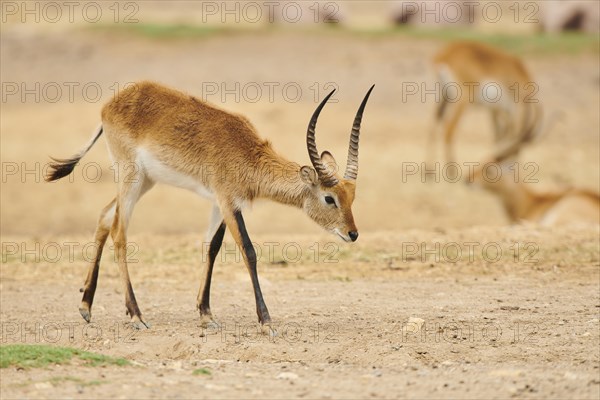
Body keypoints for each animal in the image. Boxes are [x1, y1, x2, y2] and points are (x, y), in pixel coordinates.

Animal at [48, 80, 376, 328]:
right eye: (329, 198)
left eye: (352, 197)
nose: (352, 233)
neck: (245, 151)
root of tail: (113, 102)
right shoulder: (228, 201)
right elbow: (249, 251)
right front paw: (265, 321)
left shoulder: (222, 203)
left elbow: (212, 247)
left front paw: (206, 314)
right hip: (130, 176)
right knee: (120, 231)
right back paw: (137, 316)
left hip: (145, 181)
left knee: (105, 216)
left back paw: (86, 306)